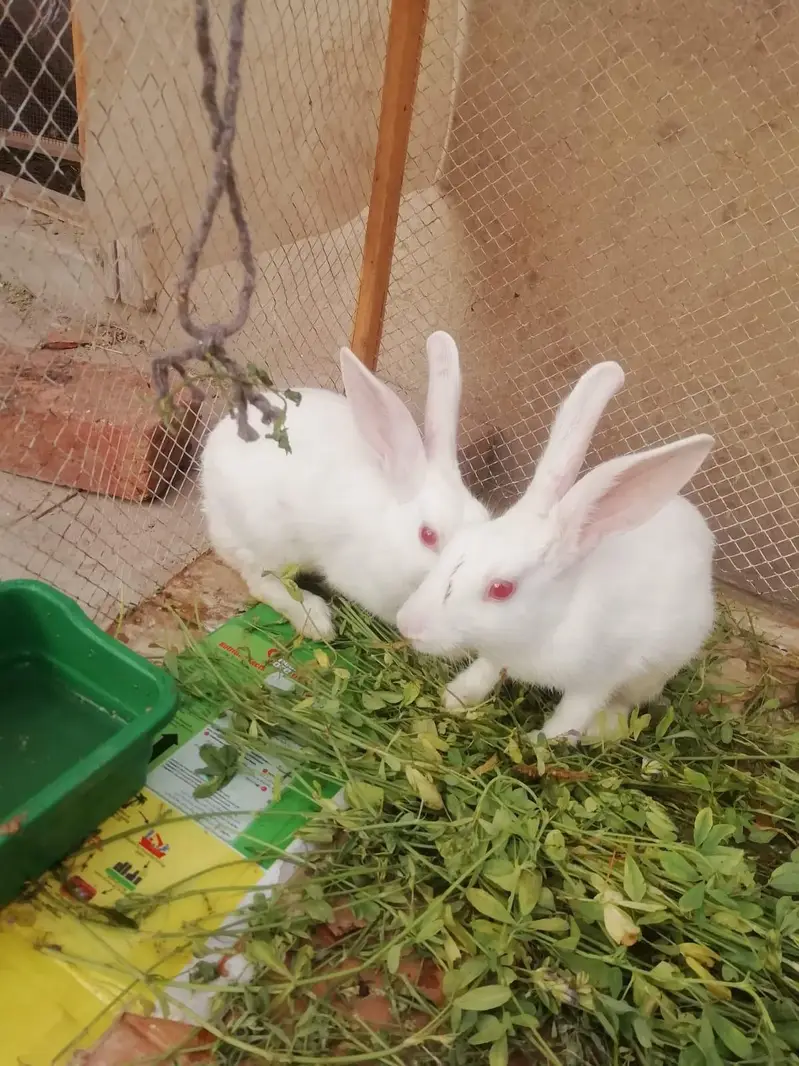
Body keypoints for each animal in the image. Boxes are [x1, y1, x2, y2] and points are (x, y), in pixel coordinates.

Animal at [396, 360, 716, 742]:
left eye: (501, 589)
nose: (407, 625)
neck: (550, 621)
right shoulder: (497, 654)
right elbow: (484, 670)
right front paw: (456, 698)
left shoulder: (597, 678)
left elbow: (571, 715)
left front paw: (542, 742)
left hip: (655, 669)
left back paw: (604, 729)